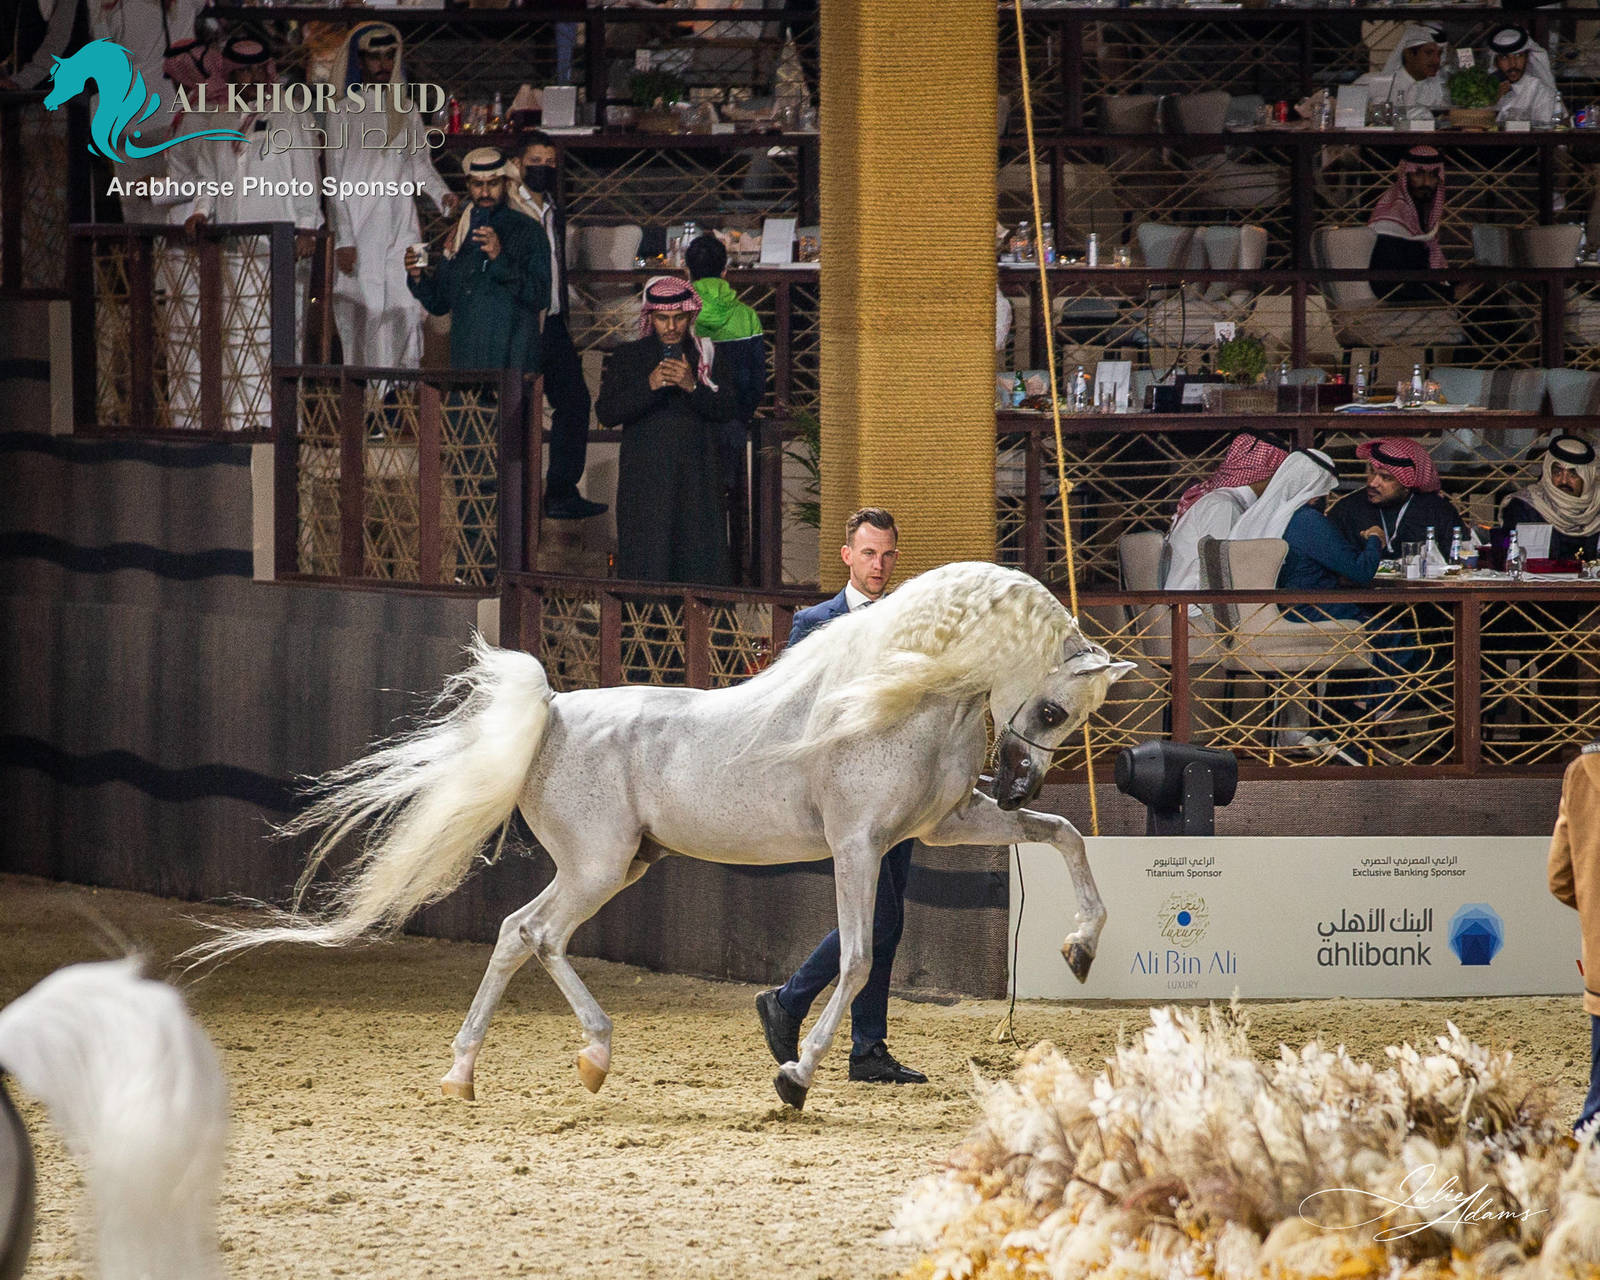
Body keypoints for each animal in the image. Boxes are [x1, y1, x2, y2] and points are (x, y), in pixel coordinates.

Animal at [189, 561, 1133, 1110]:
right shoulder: (860, 848)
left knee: (513, 932)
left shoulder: (942, 827)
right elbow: (862, 956)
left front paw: (1081, 948)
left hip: (617, 864)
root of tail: (554, 711)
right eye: (1055, 709)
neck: (899, 696)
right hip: (601, 865)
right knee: (538, 933)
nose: (1017, 780)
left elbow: (1065, 836)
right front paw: (794, 1078)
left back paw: (467, 1074)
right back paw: (591, 1056)